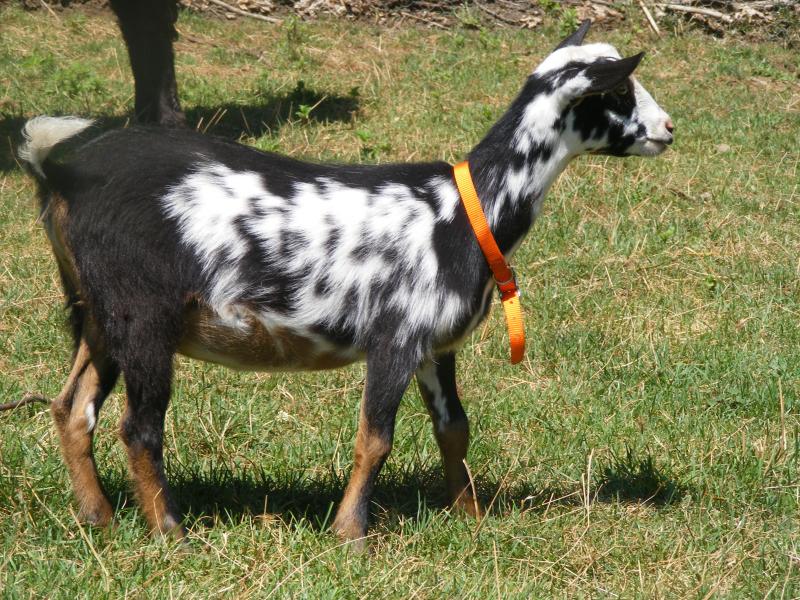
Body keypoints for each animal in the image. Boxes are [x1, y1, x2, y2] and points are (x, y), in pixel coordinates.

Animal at [18, 21, 673, 546]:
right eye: (618, 90)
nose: (668, 128)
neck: (465, 215)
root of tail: (63, 170)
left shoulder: (435, 346)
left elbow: (454, 429)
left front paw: (470, 516)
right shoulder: (396, 336)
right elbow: (375, 438)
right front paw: (350, 534)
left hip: (99, 311)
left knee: (72, 408)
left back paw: (98, 518)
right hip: (143, 311)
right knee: (139, 427)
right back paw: (171, 534)